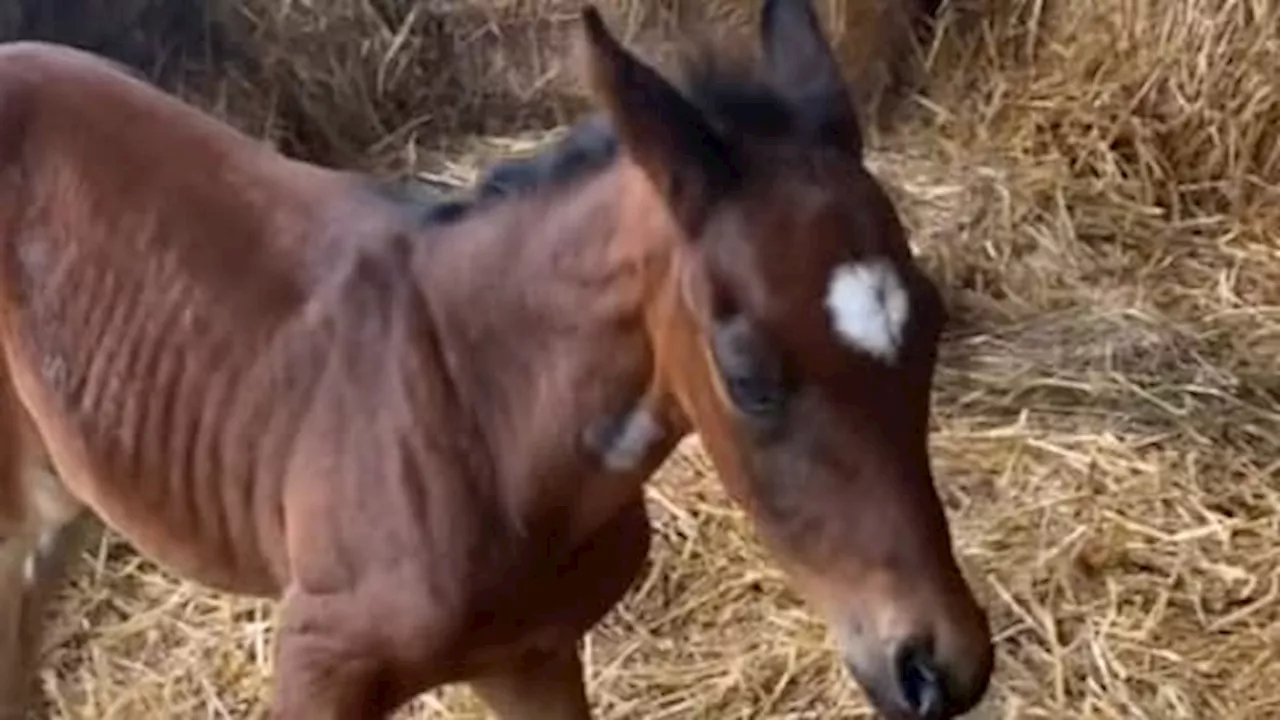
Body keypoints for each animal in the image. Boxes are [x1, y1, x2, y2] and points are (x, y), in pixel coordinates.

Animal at [0, 1, 988, 717]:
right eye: (748, 378)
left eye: (933, 323)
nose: (939, 667)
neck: (485, 415)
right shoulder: (321, 659)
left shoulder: (535, 656)